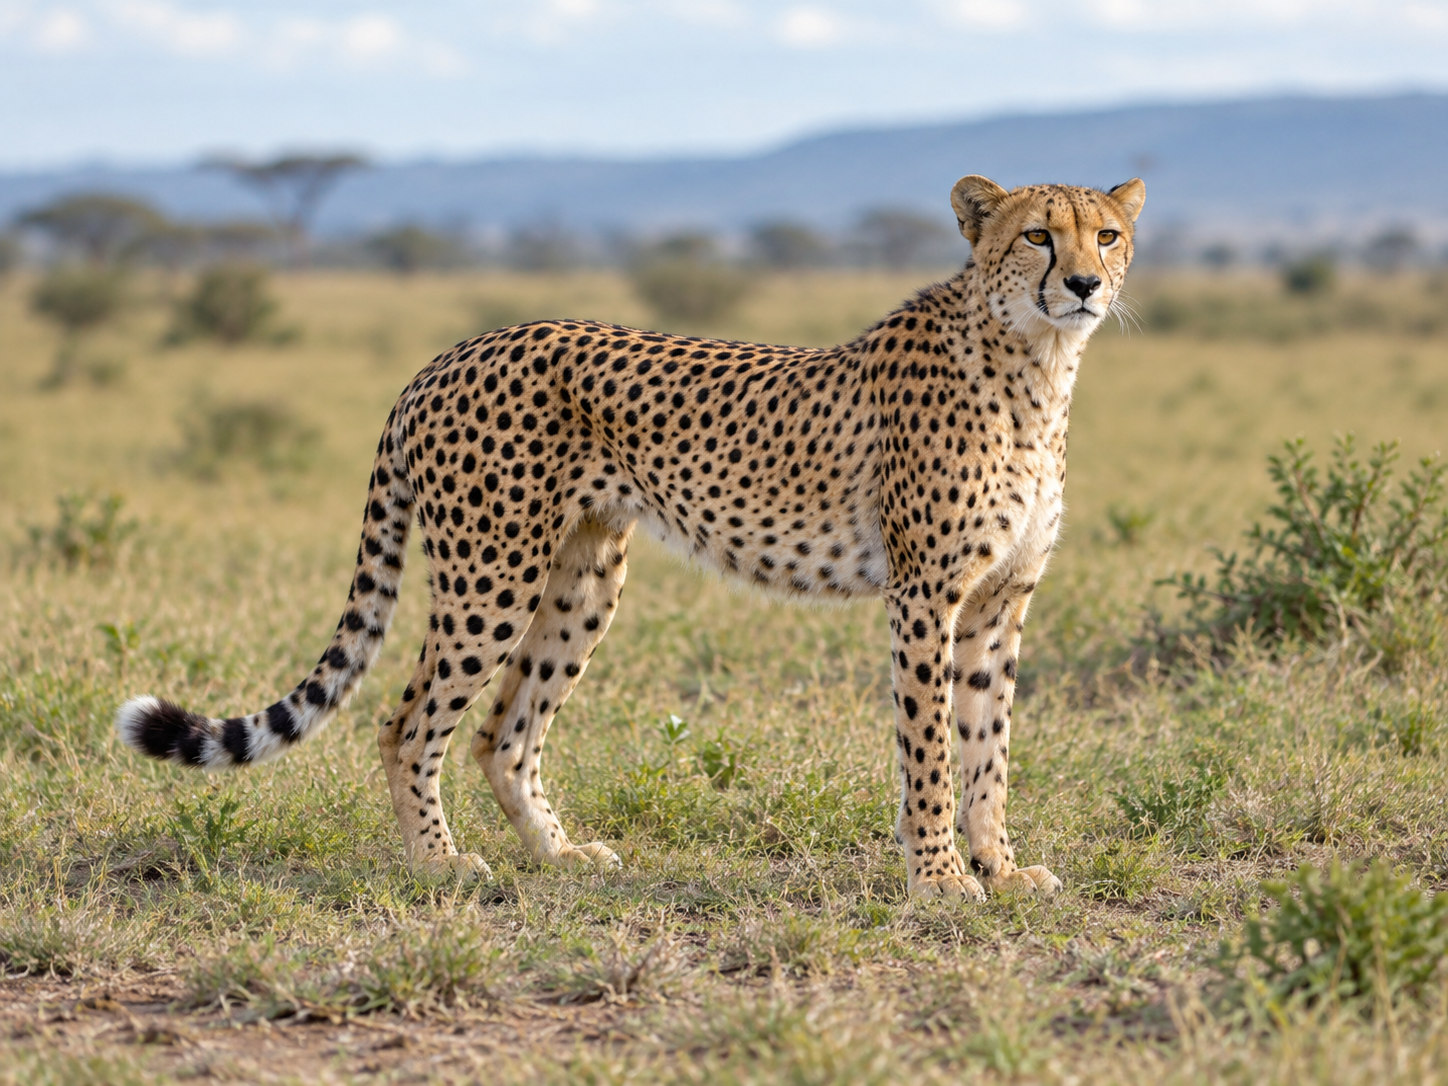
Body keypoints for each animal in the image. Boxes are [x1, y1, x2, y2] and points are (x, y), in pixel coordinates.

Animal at [117, 173, 1144, 901]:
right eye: (1037, 235)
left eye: (1107, 234)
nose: (1085, 284)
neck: (1034, 365)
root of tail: (448, 354)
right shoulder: (924, 596)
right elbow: (930, 745)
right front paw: (938, 879)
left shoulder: (999, 601)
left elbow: (988, 746)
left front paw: (1000, 867)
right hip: (492, 573)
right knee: (409, 723)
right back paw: (438, 865)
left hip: (583, 576)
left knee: (503, 732)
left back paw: (558, 854)